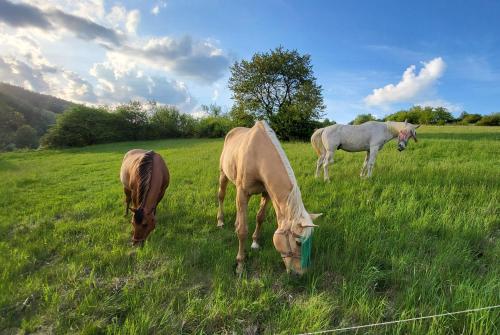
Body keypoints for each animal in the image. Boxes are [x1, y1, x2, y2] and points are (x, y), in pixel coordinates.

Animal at [218, 121, 320, 276]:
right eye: (298, 242)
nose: (301, 273)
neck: (258, 155)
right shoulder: (243, 192)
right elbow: (243, 231)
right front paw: (240, 264)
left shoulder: (266, 193)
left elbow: (260, 217)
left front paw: (255, 243)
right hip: (223, 174)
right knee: (221, 196)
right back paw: (220, 221)